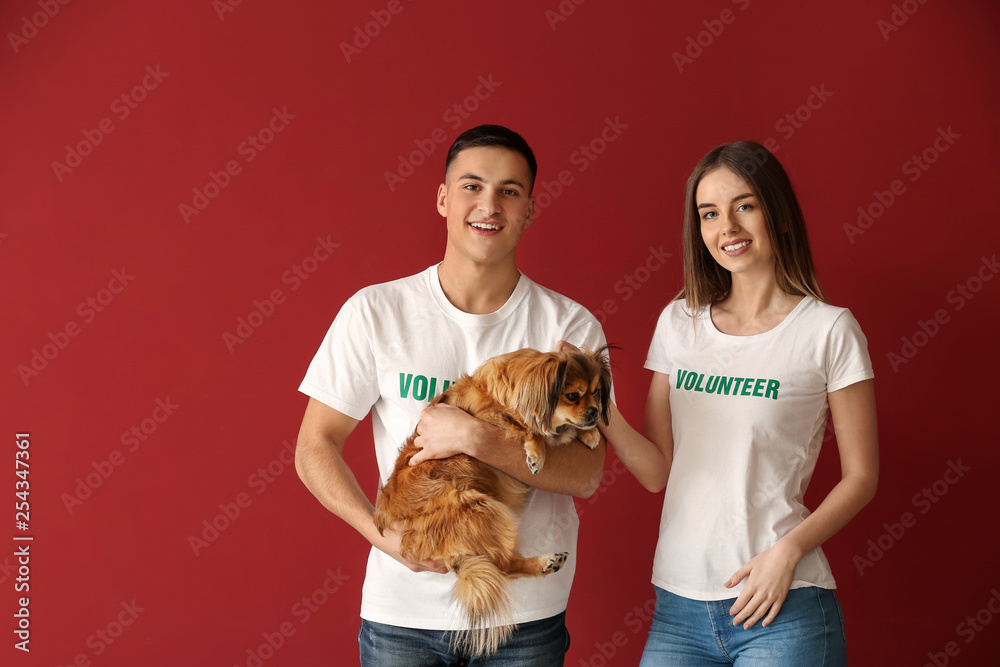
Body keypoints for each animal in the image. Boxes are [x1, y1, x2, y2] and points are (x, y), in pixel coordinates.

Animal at [374, 350, 608, 656]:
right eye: (572, 395)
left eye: (596, 393)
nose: (594, 413)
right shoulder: (493, 418)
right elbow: (532, 429)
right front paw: (538, 450)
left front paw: (589, 434)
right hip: (483, 509)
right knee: (504, 566)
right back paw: (544, 562)